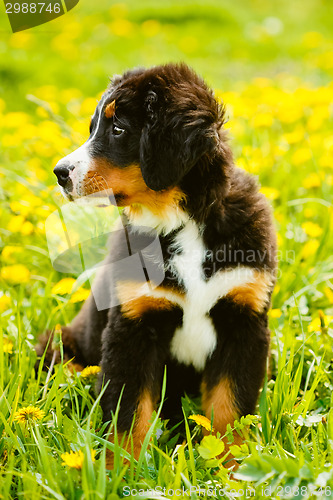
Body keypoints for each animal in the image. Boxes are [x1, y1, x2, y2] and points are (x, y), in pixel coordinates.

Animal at [36, 63, 276, 468]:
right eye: (94, 127)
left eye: (117, 129)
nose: (60, 173)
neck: (182, 221)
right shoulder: (133, 323)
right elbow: (130, 411)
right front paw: (121, 470)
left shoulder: (243, 321)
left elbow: (230, 407)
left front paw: (231, 468)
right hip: (59, 343)